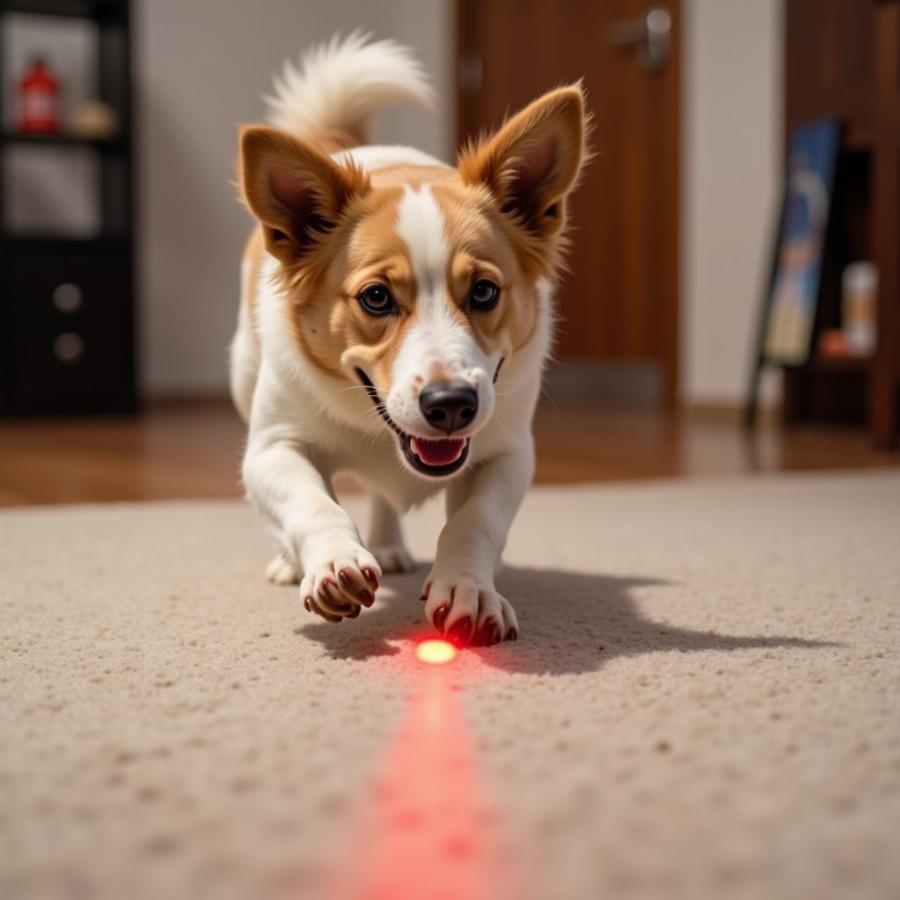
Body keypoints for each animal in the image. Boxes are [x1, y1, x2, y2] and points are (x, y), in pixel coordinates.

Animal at [229, 31, 588, 644]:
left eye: (485, 291)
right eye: (376, 297)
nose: (451, 405)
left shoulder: (509, 454)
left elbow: (474, 523)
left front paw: (469, 588)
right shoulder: (272, 447)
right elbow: (313, 504)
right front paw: (334, 562)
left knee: (383, 495)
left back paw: (390, 544)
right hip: (243, 377)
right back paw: (290, 561)